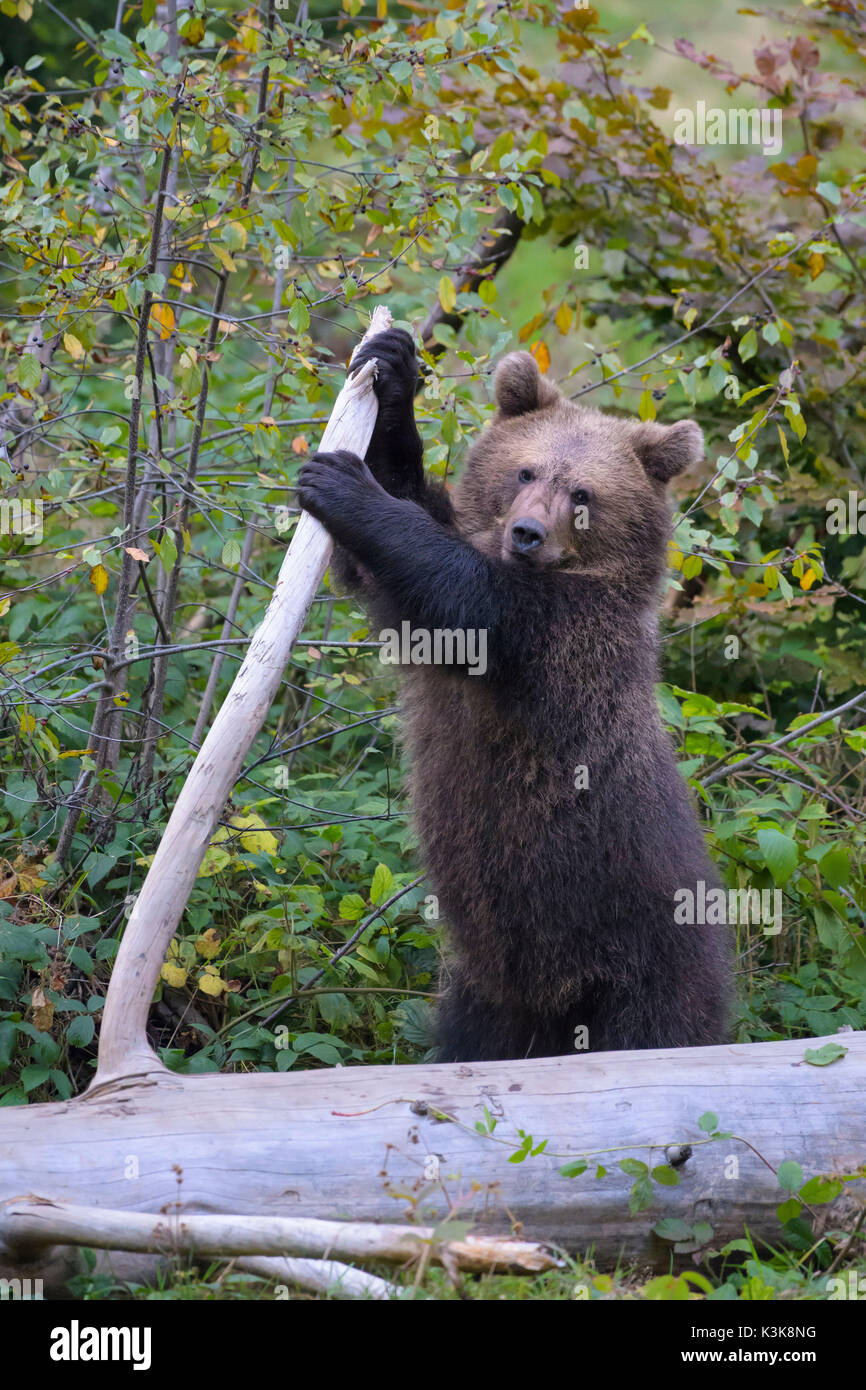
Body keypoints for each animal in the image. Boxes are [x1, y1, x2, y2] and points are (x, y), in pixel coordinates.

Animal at [297, 328, 732, 1063]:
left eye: (582, 492)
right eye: (525, 472)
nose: (527, 533)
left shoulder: (560, 636)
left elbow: (457, 586)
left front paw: (342, 485)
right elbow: (406, 536)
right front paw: (393, 374)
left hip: (639, 953)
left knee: (652, 1031)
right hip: (488, 985)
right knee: (474, 1037)